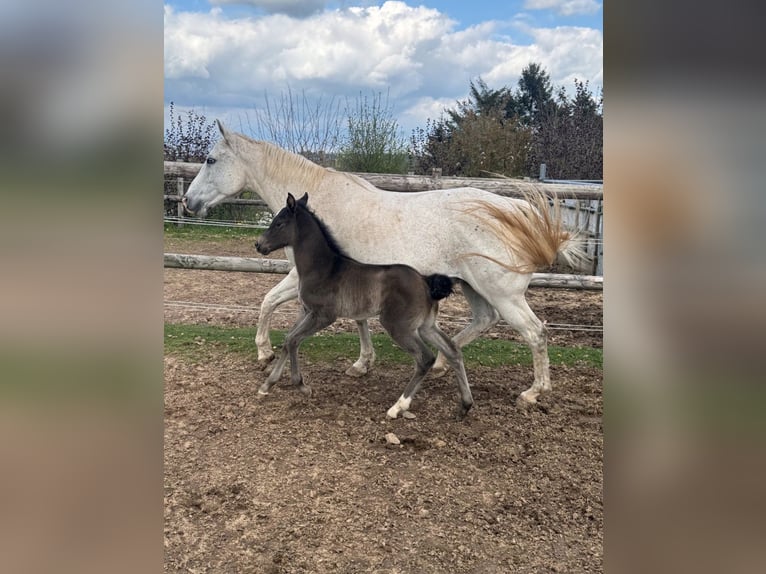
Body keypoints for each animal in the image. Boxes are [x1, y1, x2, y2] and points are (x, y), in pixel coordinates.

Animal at [254, 192, 473, 419]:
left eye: (279, 223)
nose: (259, 245)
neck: (323, 268)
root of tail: (425, 281)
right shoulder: (307, 311)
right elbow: (289, 339)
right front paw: (267, 385)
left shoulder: (323, 316)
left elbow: (294, 340)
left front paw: (301, 385)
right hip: (426, 326)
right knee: (453, 350)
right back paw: (465, 405)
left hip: (399, 327)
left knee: (425, 358)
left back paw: (398, 407)